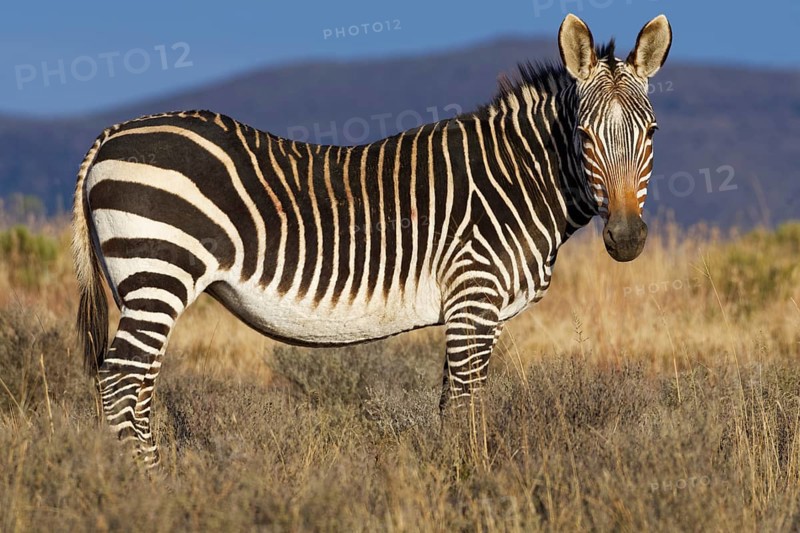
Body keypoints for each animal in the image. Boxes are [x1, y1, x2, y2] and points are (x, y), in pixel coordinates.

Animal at [72, 14, 671, 466]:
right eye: (584, 134)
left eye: (651, 132)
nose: (625, 238)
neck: (515, 179)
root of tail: (113, 133)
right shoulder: (474, 299)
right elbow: (467, 406)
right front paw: (472, 481)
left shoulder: (474, 311)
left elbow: (451, 404)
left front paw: (453, 475)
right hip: (159, 273)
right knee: (120, 383)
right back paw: (149, 486)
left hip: (143, 285)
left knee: (134, 386)